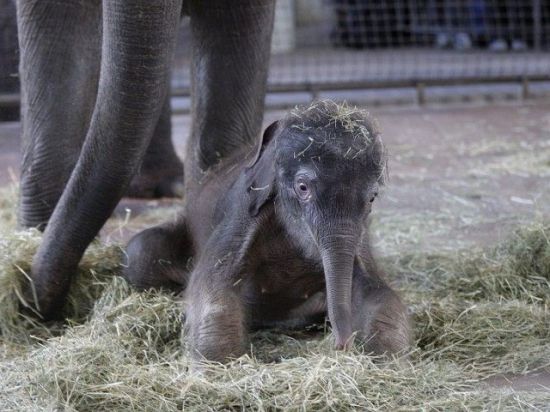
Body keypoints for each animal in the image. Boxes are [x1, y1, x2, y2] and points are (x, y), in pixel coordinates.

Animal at [124, 101, 410, 362]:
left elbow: (376, 289)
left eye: (372, 197)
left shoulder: (360, 235)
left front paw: (388, 359)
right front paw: (217, 365)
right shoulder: (244, 206)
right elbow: (212, 281)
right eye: (303, 188)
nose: (343, 345)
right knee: (139, 254)